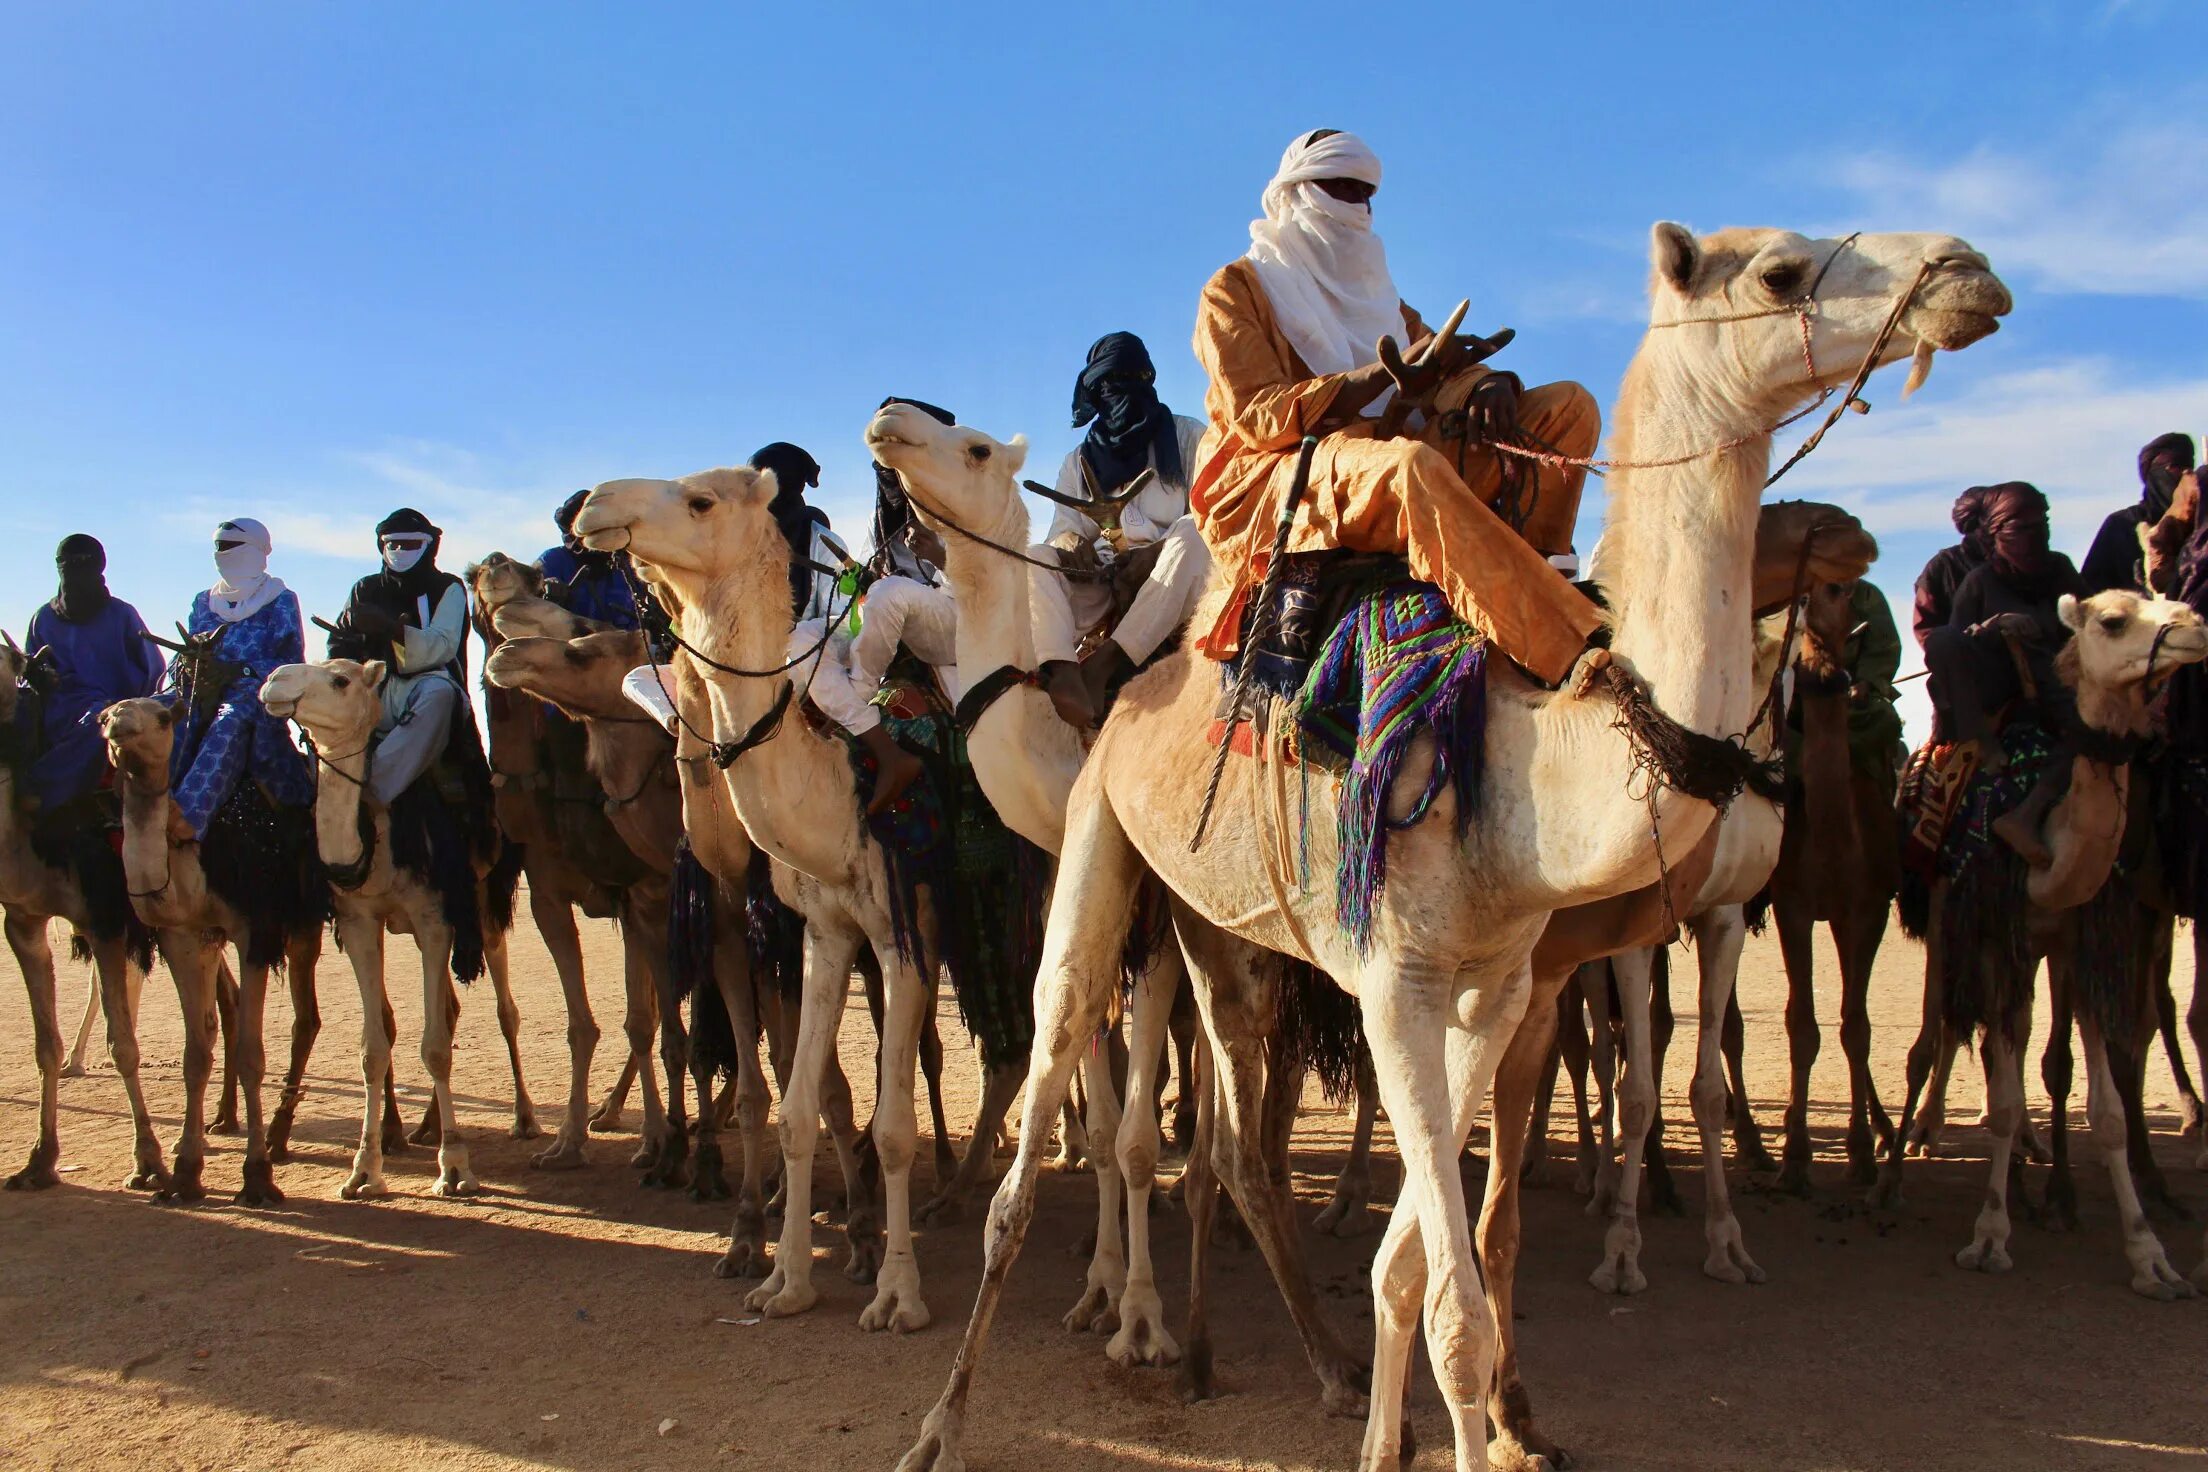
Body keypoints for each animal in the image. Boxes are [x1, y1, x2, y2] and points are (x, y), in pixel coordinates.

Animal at [99, 697, 326, 1200]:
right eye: (105, 717)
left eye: (163, 717)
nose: (118, 725)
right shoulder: (185, 934)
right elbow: (196, 1054)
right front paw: (185, 1173)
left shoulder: (255, 929)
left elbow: (252, 1055)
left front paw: (257, 1176)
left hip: (305, 924)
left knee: (310, 1018)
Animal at [258, 657, 521, 1200]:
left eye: (339, 680)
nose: (274, 681)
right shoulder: (360, 920)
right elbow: (373, 1047)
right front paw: (363, 1171)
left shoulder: (434, 918)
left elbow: (436, 1048)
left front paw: (455, 1167)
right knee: (450, 1007)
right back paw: (426, 1127)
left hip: (482, 907)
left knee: (504, 1008)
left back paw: (523, 1120)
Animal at [1881, 591, 2208, 1297]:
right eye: (2113, 620)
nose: (2194, 628)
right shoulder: (1994, 932)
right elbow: (2003, 1089)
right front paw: (1989, 1234)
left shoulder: (2082, 938)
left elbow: (2102, 1101)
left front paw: (2147, 1252)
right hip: (1948, 910)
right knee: (1938, 1032)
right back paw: (1901, 1164)